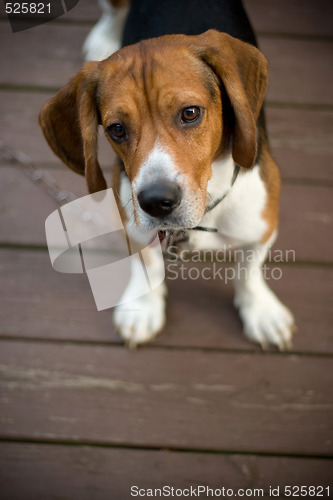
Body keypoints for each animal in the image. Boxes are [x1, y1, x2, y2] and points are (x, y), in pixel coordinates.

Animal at [39, 0, 294, 350]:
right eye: (116, 129)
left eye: (190, 113)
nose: (156, 202)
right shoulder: (132, 224)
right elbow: (146, 264)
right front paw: (144, 307)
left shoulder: (262, 228)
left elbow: (249, 271)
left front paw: (261, 311)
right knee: (112, 12)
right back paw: (104, 38)